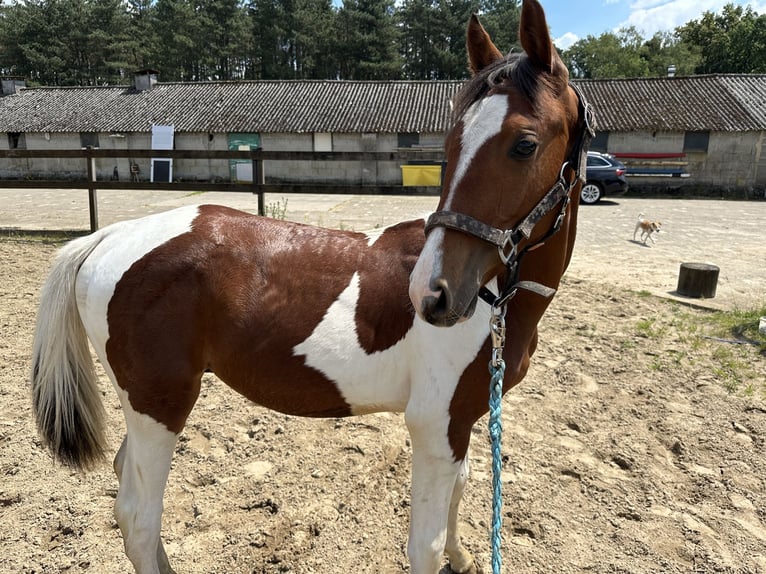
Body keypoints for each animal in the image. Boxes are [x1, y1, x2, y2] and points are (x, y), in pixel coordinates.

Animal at [30, 2, 592, 572]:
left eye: (525, 144)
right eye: (451, 142)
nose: (433, 294)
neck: (497, 300)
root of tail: (106, 236)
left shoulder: (467, 415)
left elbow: (463, 487)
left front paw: (464, 556)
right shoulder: (436, 424)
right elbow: (424, 545)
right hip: (158, 407)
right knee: (138, 517)